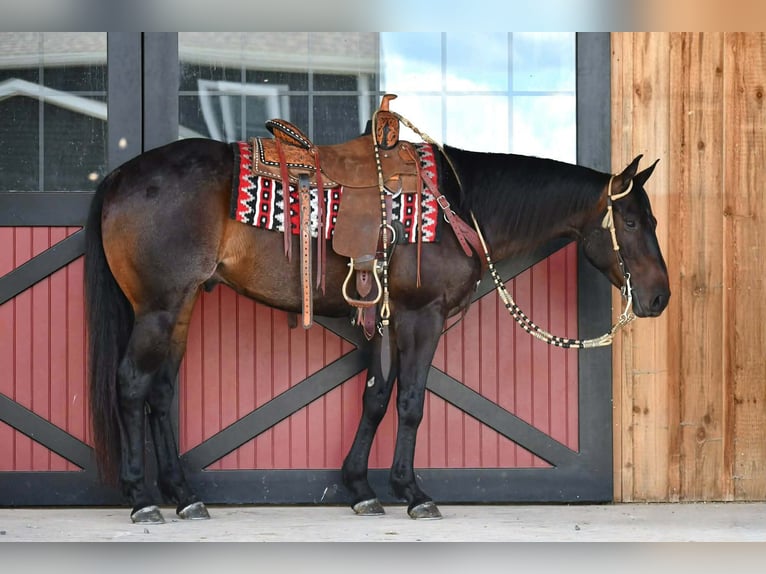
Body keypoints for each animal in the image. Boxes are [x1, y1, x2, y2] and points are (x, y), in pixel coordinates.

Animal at [83, 115, 670, 524]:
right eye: (632, 221)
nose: (660, 297)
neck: (460, 205)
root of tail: (120, 175)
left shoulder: (386, 319)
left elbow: (376, 396)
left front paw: (361, 489)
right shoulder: (422, 317)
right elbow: (410, 402)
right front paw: (412, 493)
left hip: (180, 308)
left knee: (161, 393)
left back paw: (184, 497)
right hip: (158, 308)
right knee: (132, 386)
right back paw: (141, 498)